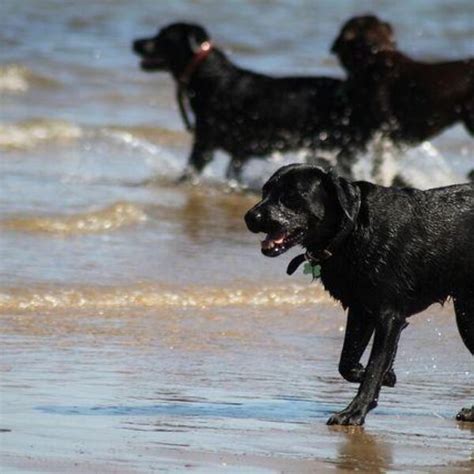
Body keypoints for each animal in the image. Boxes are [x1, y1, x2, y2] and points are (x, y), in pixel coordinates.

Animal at [132, 23, 374, 183]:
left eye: (162, 36)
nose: (135, 42)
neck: (209, 76)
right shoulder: (239, 155)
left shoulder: (204, 145)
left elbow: (188, 172)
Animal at [246, 164, 472, 426]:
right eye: (265, 191)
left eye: (292, 196)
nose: (250, 217)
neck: (353, 230)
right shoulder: (360, 310)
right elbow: (347, 362)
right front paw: (385, 375)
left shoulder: (388, 316)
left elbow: (374, 367)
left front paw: (354, 412)